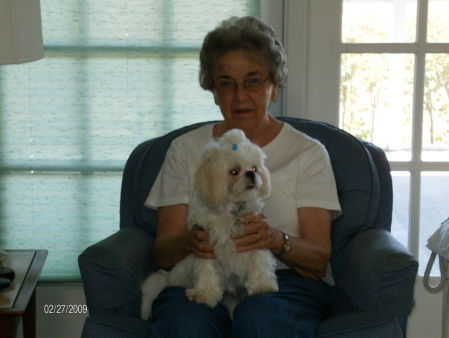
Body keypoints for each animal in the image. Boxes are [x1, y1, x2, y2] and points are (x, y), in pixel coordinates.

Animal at [142, 129, 278, 320]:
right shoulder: (206, 246)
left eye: (254, 168)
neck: (232, 211)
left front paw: (262, 286)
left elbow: (260, 263)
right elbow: (208, 271)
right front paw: (204, 294)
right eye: (234, 171)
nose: (252, 174)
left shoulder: (256, 240)